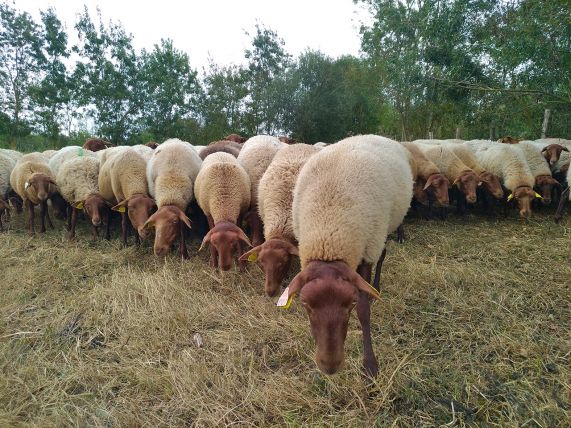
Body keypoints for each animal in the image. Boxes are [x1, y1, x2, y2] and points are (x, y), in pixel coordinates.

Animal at [280, 135, 412, 376]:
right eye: (305, 304)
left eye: (350, 302)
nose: (330, 366)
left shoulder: (367, 249)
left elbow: (364, 311)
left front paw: (370, 365)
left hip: (383, 228)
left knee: (383, 254)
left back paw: (376, 287)